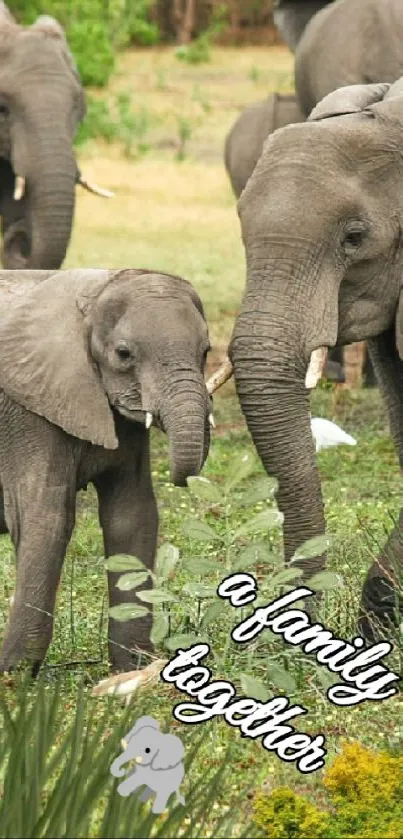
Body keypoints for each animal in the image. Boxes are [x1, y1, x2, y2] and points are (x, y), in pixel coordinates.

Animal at [0, 270, 215, 676]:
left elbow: (132, 515)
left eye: (206, 352)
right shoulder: (28, 414)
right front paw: (14, 677)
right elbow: (47, 519)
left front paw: (134, 670)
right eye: (123, 354)